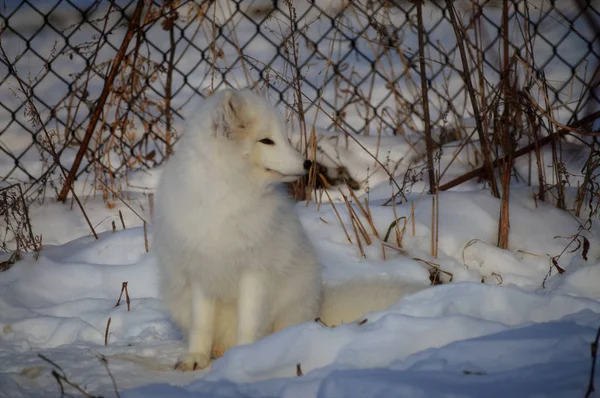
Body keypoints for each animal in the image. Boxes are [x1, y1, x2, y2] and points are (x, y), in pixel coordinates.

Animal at [154, 88, 426, 372]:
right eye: (266, 140)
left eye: (282, 138)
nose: (308, 163)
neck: (228, 194)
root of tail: (318, 305)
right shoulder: (200, 272)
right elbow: (201, 324)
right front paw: (196, 357)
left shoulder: (255, 272)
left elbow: (249, 323)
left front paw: (243, 356)